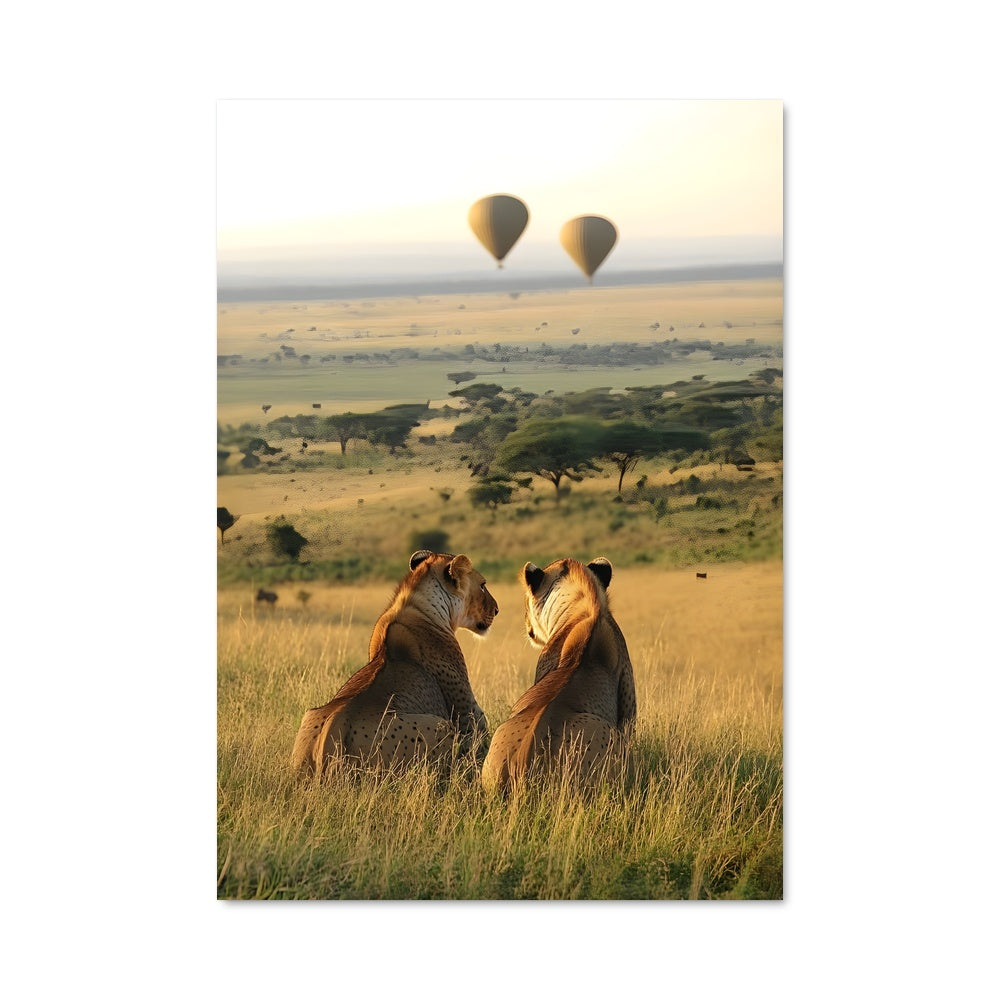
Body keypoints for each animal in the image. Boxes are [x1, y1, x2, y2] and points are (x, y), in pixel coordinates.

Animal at [290, 550, 498, 777]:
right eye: (482, 585)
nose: (497, 610)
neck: (417, 604)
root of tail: (331, 735)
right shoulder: (468, 713)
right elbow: (482, 735)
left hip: (308, 718)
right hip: (440, 725)